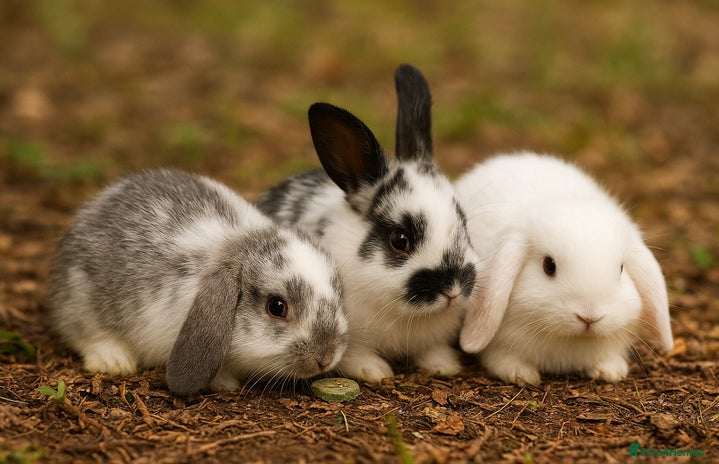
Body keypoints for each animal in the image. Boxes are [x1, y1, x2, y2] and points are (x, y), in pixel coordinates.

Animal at [47, 169, 348, 396]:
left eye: (338, 295)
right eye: (277, 306)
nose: (325, 358)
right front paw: (226, 383)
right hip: (81, 300)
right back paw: (114, 361)